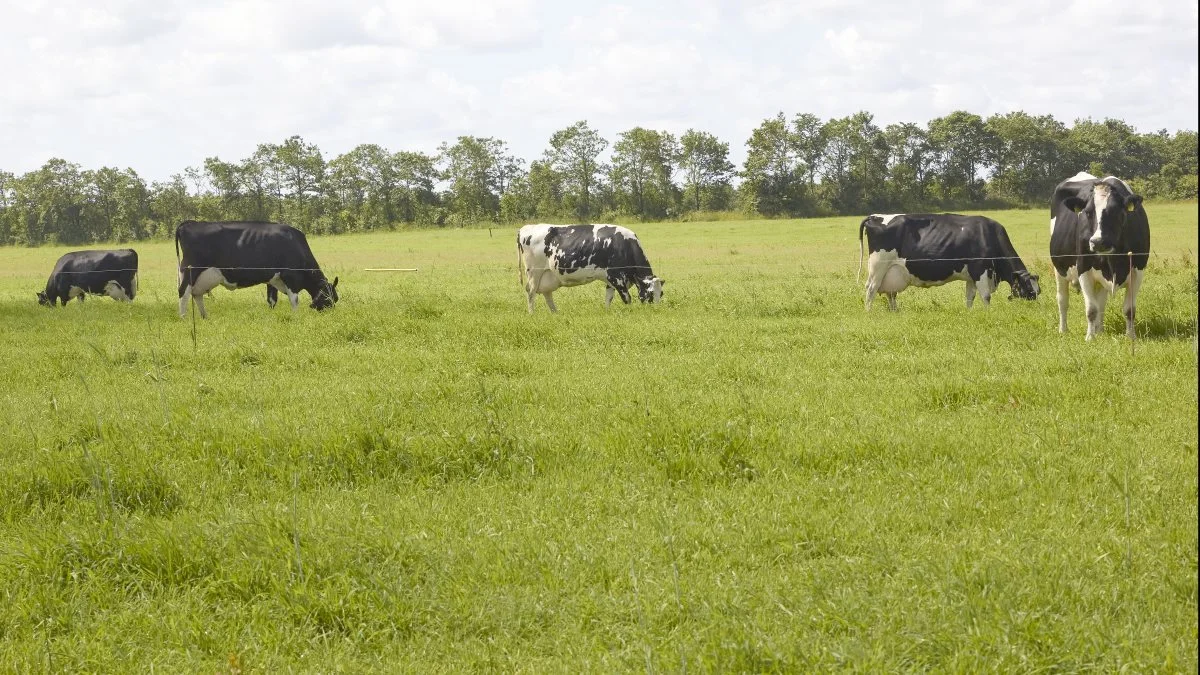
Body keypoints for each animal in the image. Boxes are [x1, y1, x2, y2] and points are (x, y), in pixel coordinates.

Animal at [172, 218, 338, 317]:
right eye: (329, 299)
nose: (330, 315)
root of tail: (189, 223)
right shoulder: (290, 276)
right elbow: (294, 299)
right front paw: (296, 315)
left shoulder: (273, 278)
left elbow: (272, 299)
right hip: (190, 270)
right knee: (183, 292)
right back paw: (183, 318)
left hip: (200, 276)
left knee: (196, 294)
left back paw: (204, 317)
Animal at [516, 223, 667, 312]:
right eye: (650, 293)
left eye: (661, 293)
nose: (656, 310)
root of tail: (525, 228)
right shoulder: (617, 277)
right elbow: (627, 298)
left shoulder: (610, 279)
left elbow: (608, 297)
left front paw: (607, 312)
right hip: (534, 272)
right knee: (531, 292)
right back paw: (532, 314)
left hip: (548, 275)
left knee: (547, 293)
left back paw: (555, 313)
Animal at [854, 212, 1041, 309]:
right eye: (1029, 292)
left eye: (1038, 291)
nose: (1035, 310)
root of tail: (875, 216)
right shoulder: (980, 270)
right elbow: (986, 296)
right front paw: (988, 313)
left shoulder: (971, 276)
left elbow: (970, 297)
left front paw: (969, 313)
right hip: (878, 266)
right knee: (871, 289)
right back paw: (869, 312)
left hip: (892, 271)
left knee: (890, 294)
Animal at [1051, 169, 1152, 336]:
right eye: (1087, 213)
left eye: (1117, 212)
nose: (1098, 241)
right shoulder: (1083, 268)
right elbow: (1091, 309)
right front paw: (1090, 337)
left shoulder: (1138, 270)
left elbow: (1129, 310)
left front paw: (1131, 336)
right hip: (1059, 268)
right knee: (1062, 300)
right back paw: (1063, 330)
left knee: (1101, 304)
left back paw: (1100, 331)